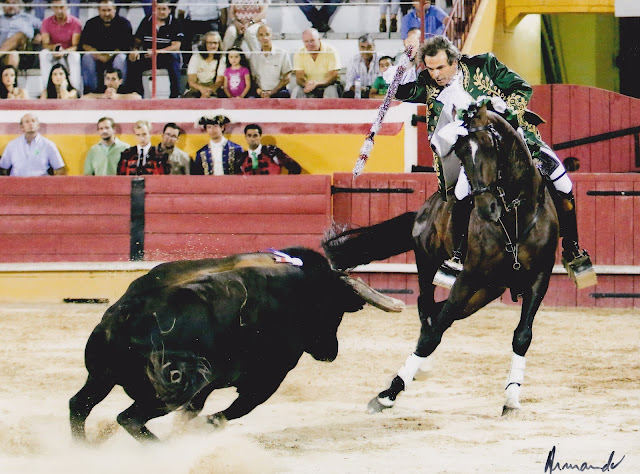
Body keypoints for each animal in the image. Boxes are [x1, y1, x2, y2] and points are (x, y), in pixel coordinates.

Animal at [69, 247, 403, 443]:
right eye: (334, 310)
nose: (329, 352)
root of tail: (125, 314)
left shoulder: (209, 388)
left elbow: (195, 412)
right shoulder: (268, 377)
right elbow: (237, 409)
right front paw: (204, 427)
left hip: (100, 376)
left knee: (79, 405)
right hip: (176, 386)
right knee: (129, 418)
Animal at [323, 102, 559, 415]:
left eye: (491, 146)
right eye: (460, 152)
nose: (487, 208)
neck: (516, 217)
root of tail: (424, 210)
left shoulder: (539, 278)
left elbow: (522, 335)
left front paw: (511, 396)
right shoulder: (468, 276)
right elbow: (434, 333)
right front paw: (388, 393)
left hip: (487, 289)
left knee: (438, 314)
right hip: (429, 264)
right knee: (429, 312)